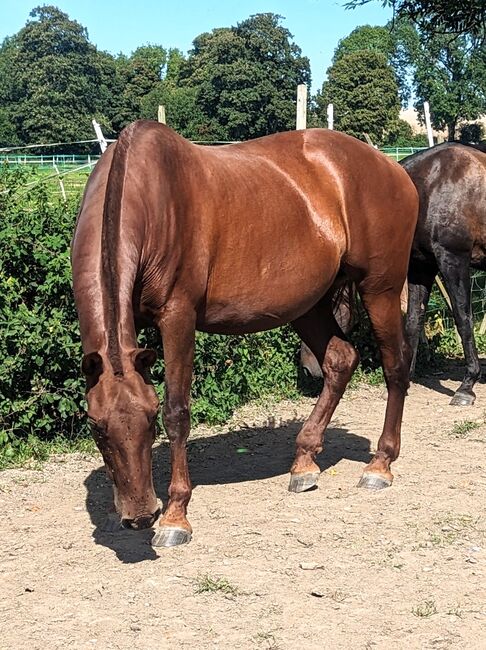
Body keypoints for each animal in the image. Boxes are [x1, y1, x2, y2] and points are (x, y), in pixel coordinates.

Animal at [71, 121, 418, 548]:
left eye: (151, 418)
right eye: (95, 426)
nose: (140, 516)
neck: (149, 194)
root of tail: (394, 169)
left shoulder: (178, 318)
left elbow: (178, 412)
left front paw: (175, 516)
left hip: (380, 290)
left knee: (395, 366)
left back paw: (380, 465)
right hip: (309, 304)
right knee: (340, 360)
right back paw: (304, 461)